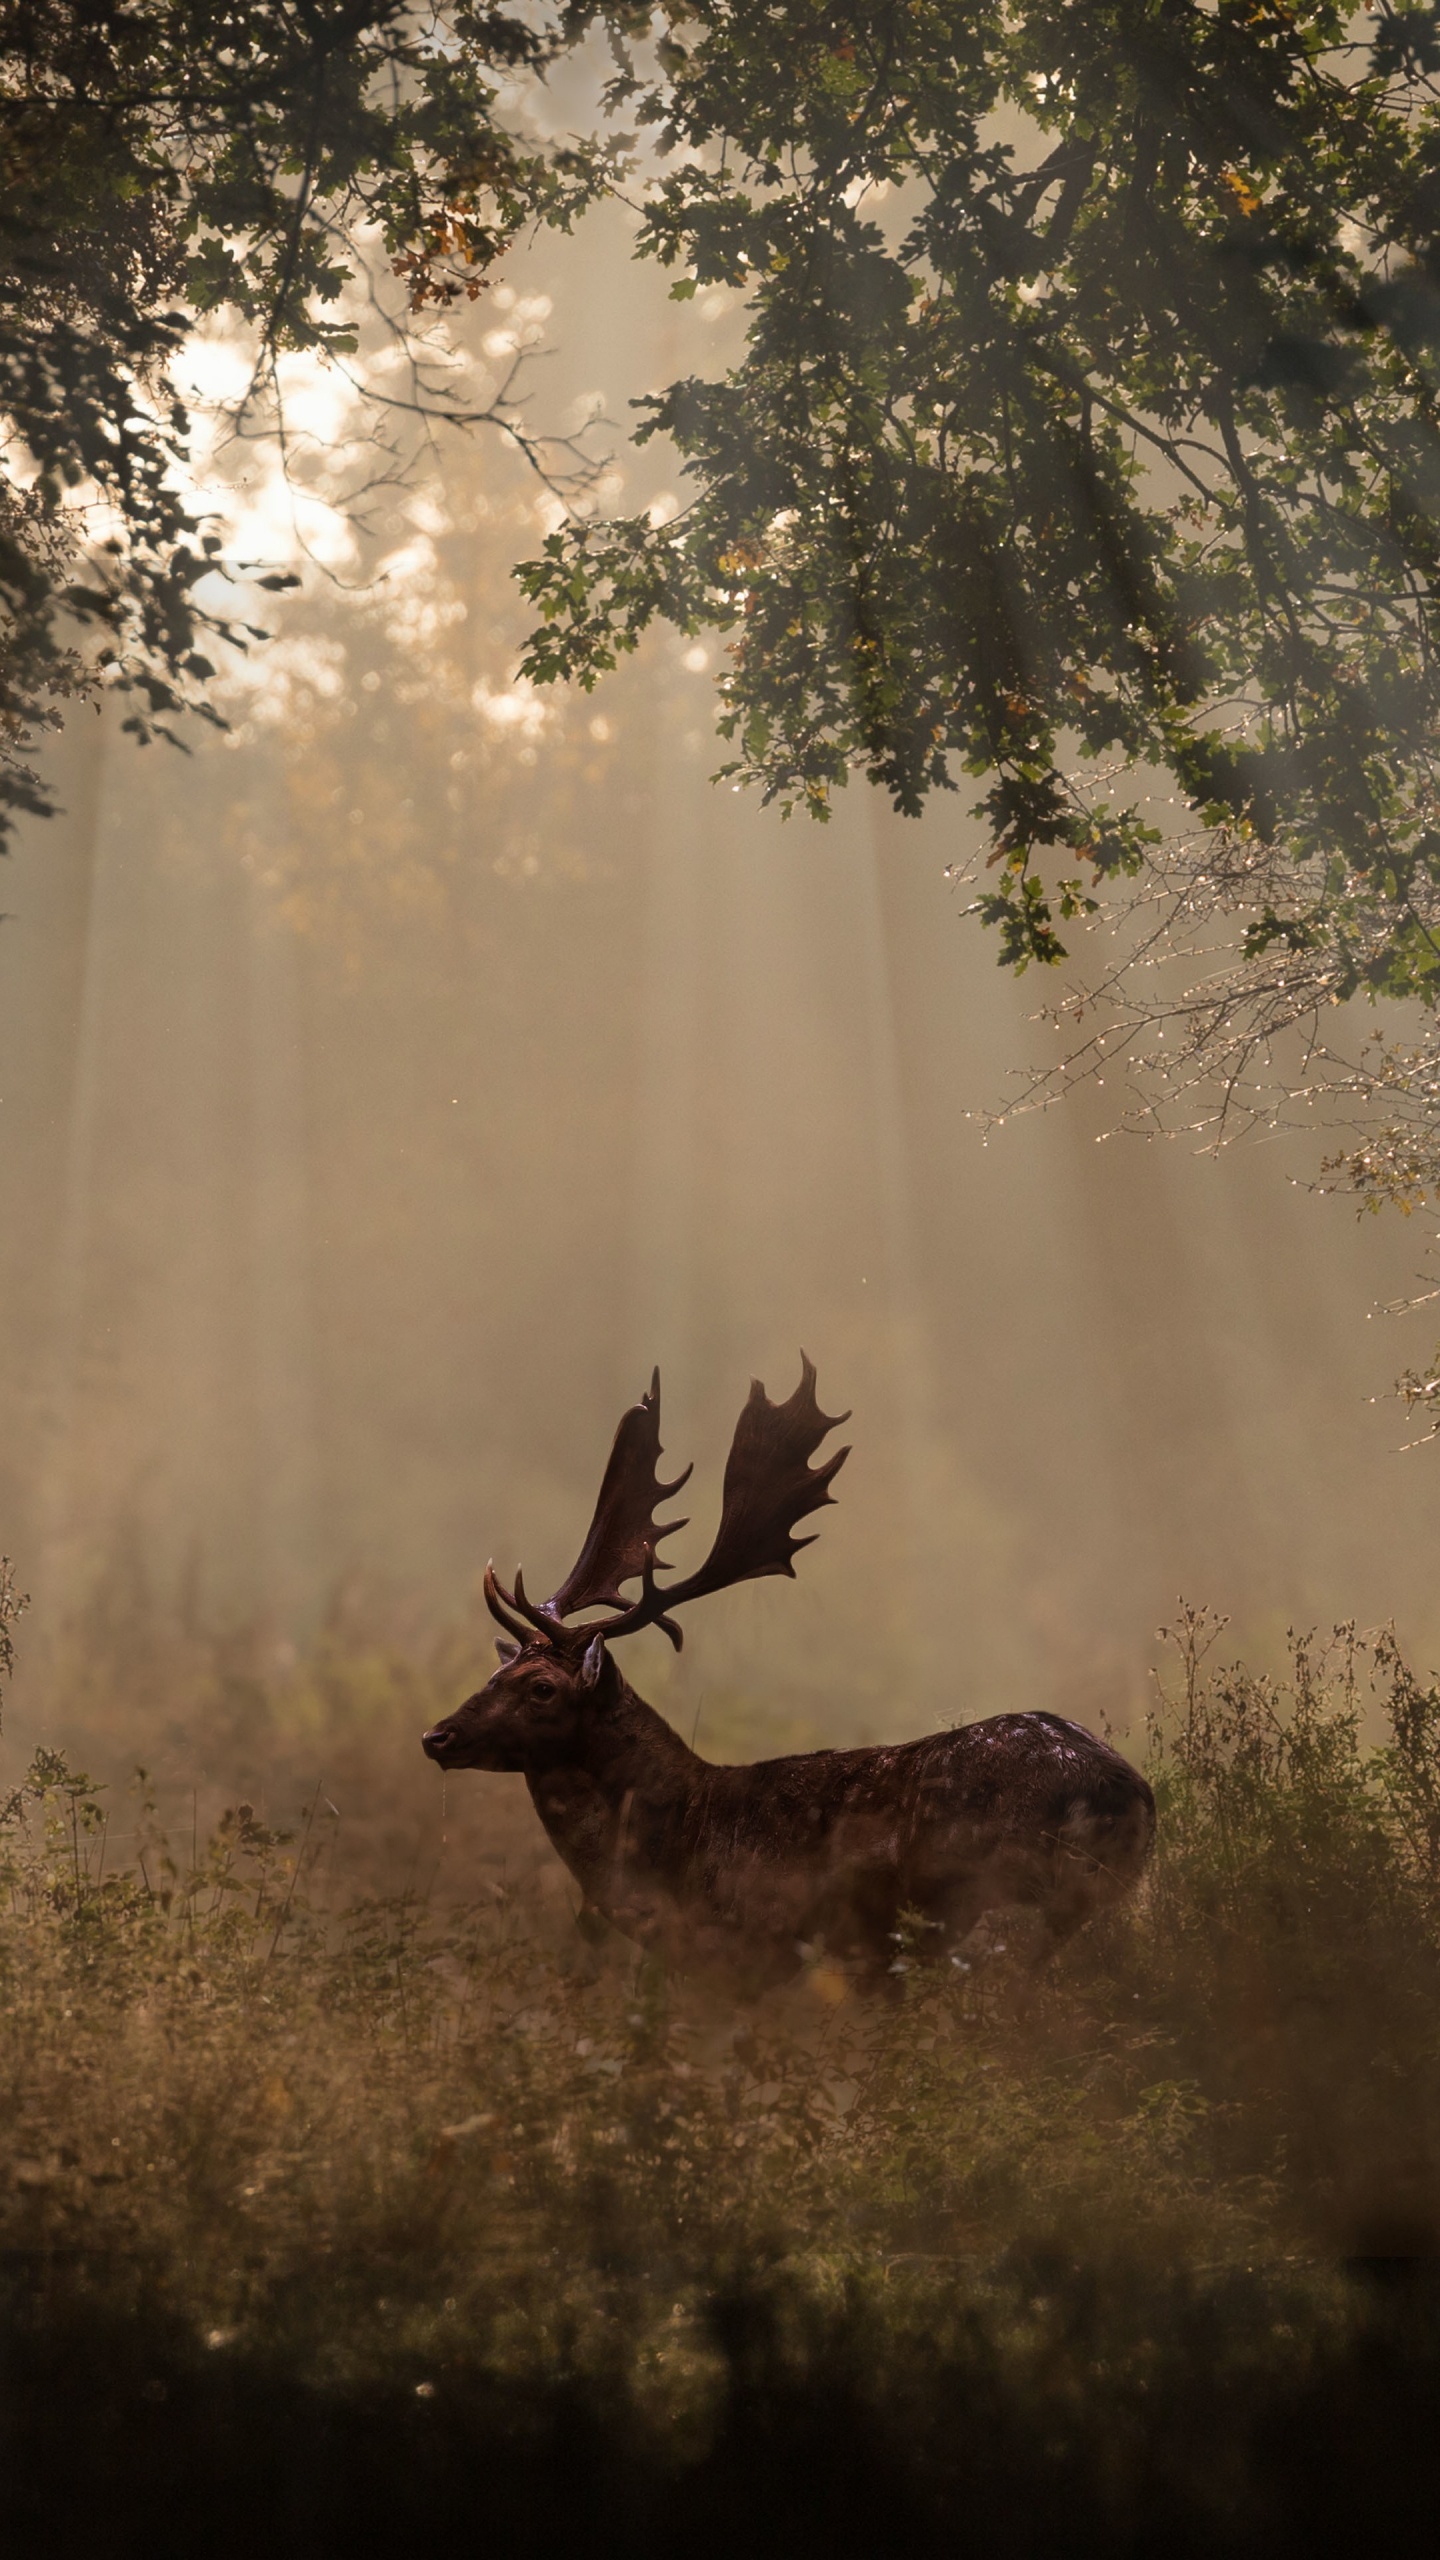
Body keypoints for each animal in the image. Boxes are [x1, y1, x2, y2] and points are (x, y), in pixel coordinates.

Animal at [420, 1361, 1147, 1996]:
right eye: (498, 1668)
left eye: (541, 1687)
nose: (436, 1736)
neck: (678, 1847)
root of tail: (1130, 1792)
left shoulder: (756, 1953)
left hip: (1000, 1904)